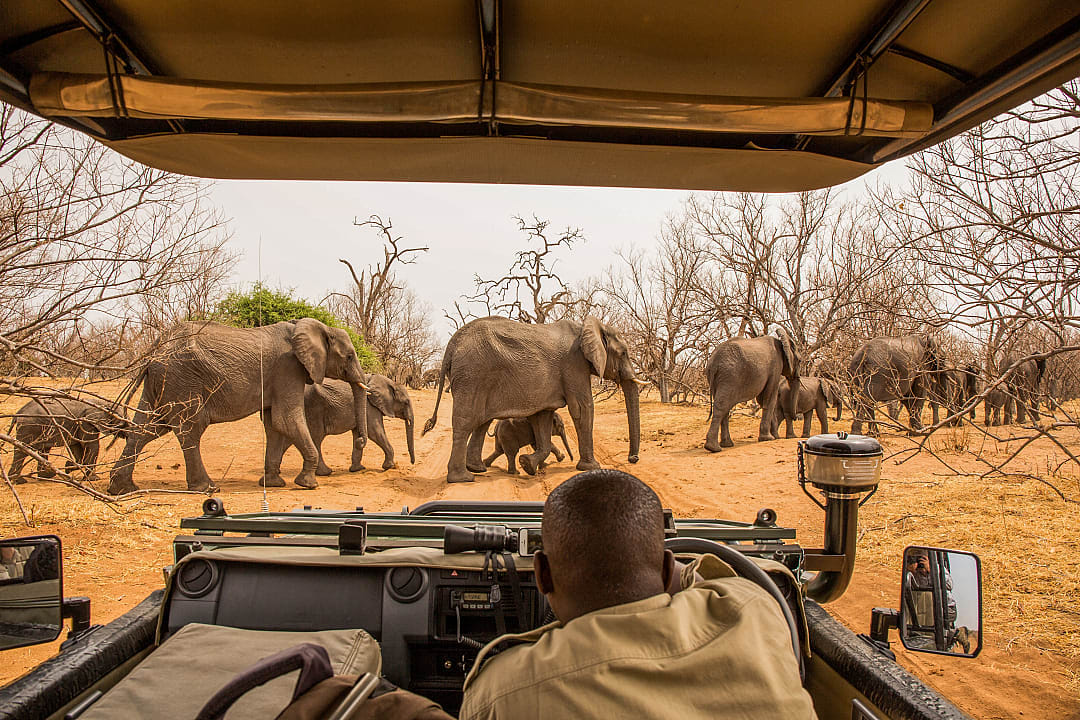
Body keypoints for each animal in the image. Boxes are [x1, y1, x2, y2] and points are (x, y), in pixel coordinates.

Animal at [108, 318, 368, 494]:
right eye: (349, 356)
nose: (360, 440)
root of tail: (154, 350)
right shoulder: (287, 368)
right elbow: (286, 419)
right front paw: (308, 484)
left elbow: (274, 424)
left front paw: (273, 484)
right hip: (182, 378)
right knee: (189, 428)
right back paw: (207, 488)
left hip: (162, 381)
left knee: (147, 428)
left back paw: (122, 489)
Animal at [270, 375, 415, 475]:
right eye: (406, 402)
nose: (412, 463)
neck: (389, 382)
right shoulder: (369, 407)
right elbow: (375, 432)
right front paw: (389, 467)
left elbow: (358, 432)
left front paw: (357, 469)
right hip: (313, 407)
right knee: (316, 437)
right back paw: (325, 473)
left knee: (291, 438)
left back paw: (277, 473)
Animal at [423, 316, 644, 484]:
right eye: (623, 353)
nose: (633, 458)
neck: (589, 327)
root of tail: (452, 345)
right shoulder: (574, 365)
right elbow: (581, 408)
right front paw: (591, 468)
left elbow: (542, 418)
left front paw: (528, 464)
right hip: (472, 375)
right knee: (465, 423)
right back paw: (463, 479)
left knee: (482, 423)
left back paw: (478, 470)